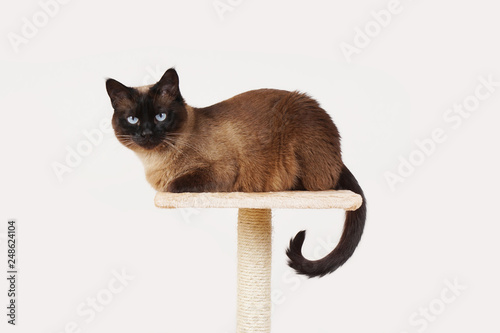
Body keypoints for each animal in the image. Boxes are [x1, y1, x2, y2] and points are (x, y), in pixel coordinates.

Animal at [106, 68, 368, 278]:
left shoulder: (219, 172)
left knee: (319, 183)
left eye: (160, 116)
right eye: (133, 119)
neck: (155, 162)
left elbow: (173, 185)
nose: (147, 134)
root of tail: (339, 156)